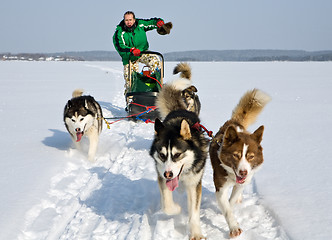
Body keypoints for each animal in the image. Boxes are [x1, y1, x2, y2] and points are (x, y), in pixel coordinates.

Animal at [210, 88, 270, 238]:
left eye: (251, 157)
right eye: (236, 155)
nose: (243, 172)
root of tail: (234, 123)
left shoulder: (241, 182)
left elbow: (230, 202)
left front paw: (232, 204)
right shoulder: (220, 186)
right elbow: (226, 207)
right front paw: (234, 227)